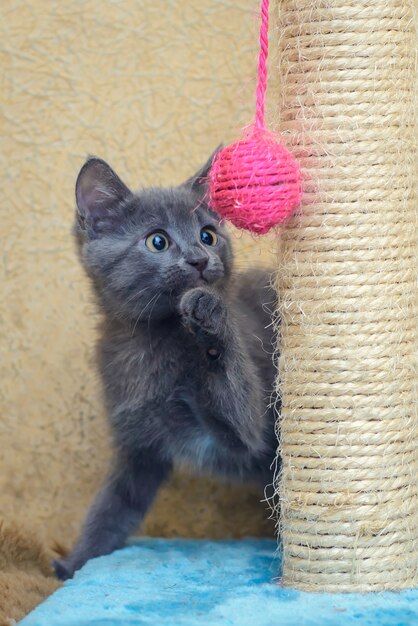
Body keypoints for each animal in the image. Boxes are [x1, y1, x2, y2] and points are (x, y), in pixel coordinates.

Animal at [53, 152, 280, 580]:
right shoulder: (138, 447)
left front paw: (210, 316)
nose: (199, 258)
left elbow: (239, 408)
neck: (152, 340)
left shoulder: (248, 434)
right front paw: (78, 561)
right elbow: (112, 507)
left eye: (208, 235)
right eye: (157, 241)